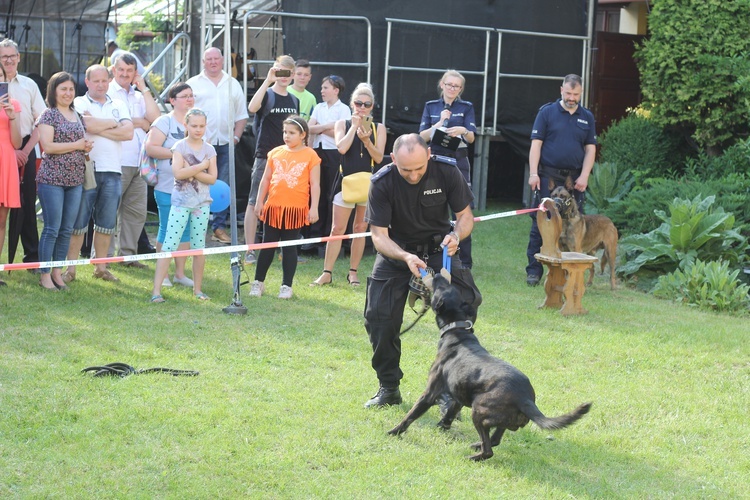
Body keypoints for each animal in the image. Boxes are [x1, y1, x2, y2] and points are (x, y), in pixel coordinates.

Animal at [388, 274, 592, 460]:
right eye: (449, 285)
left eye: (441, 287)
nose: (438, 273)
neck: (457, 331)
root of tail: (525, 399)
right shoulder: (458, 396)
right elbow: (450, 413)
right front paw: (441, 427)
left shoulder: (430, 393)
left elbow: (410, 415)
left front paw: (394, 431)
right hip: (498, 420)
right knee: (494, 440)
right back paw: (476, 445)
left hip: (479, 411)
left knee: (489, 450)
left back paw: (472, 456)